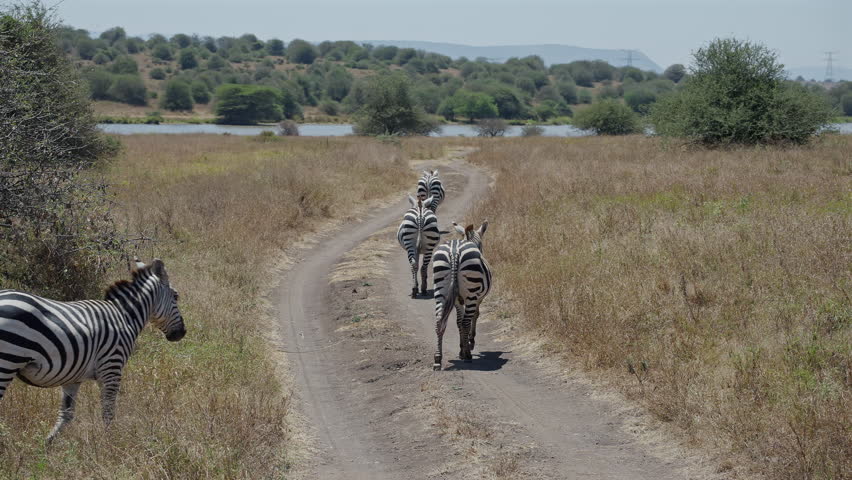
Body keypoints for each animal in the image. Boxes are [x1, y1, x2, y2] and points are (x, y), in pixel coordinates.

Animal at [0, 258, 186, 443]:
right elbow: (108, 412)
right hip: (7, 362)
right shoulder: (112, 368)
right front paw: (109, 442)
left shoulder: (72, 377)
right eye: (176, 296)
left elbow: (66, 414)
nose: (182, 333)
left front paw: (47, 443)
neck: (125, 316)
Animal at [432, 221, 491, 370]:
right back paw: (468, 356)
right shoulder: (478, 298)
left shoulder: (457, 300)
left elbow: (458, 322)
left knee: (439, 322)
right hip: (471, 293)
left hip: (440, 289)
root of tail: (454, 252)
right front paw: (469, 343)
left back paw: (437, 359)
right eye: (481, 245)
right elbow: (472, 317)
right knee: (465, 322)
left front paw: (461, 349)